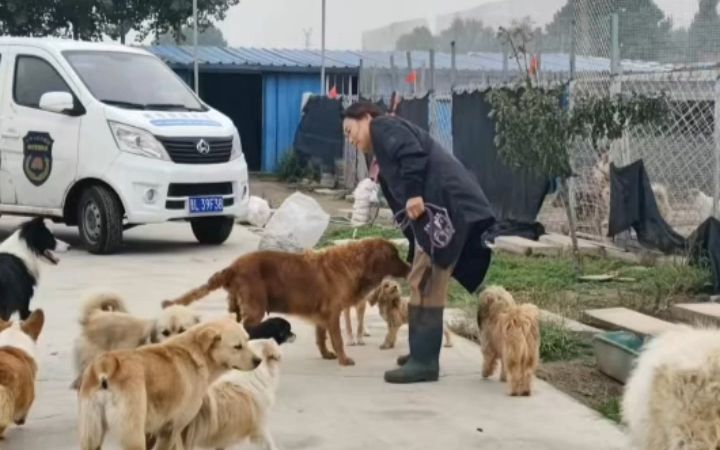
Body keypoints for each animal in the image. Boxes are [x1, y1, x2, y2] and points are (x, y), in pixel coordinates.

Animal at [76, 316, 262, 450]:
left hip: (91, 435)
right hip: (133, 436)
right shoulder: (172, 430)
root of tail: (107, 364)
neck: (196, 356)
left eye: (247, 340)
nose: (258, 360)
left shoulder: (162, 432)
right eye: (237, 346)